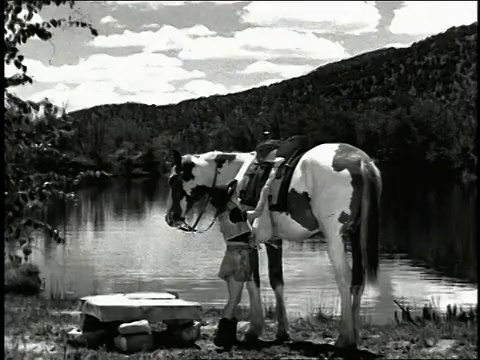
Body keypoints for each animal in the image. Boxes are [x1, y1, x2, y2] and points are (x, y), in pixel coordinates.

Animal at [165, 143, 382, 348]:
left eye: (173, 179)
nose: (170, 217)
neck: (238, 175)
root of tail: (361, 161)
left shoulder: (250, 241)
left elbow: (253, 281)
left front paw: (254, 329)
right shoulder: (274, 241)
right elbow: (277, 280)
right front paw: (282, 331)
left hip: (335, 237)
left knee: (344, 278)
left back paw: (344, 337)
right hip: (355, 235)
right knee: (358, 280)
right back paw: (354, 334)